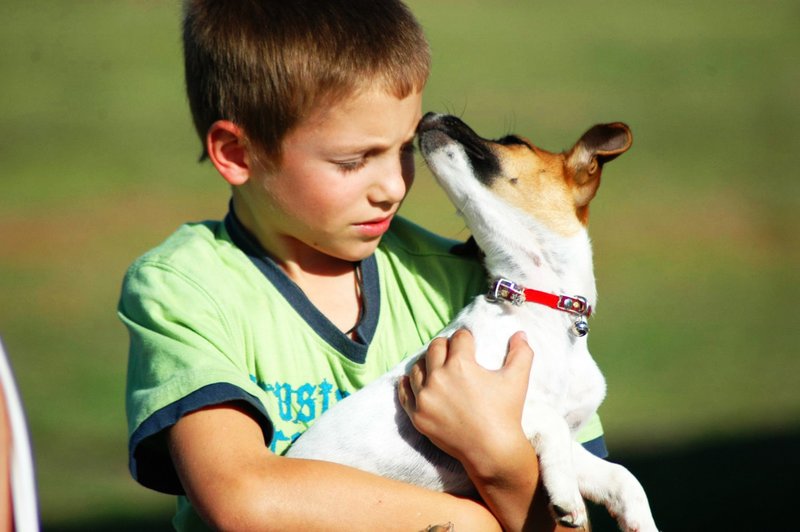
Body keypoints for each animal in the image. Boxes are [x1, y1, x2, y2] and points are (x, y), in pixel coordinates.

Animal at [288, 114, 656, 528]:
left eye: (513, 141)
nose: (431, 114)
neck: (540, 310)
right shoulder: (499, 408)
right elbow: (552, 422)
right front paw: (566, 495)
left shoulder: (554, 438)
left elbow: (620, 475)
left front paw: (639, 521)